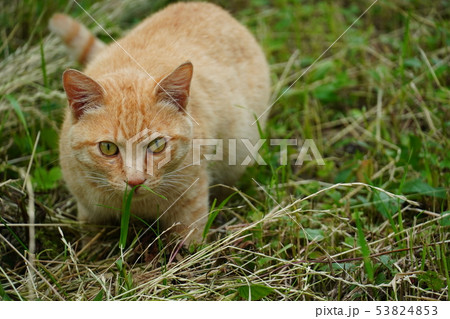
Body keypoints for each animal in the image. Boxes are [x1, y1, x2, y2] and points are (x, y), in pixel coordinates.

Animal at [52, 1, 270, 245]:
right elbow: (90, 241)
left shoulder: (191, 204)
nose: (135, 181)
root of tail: (204, 5)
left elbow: (189, 246)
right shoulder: (89, 211)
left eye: (157, 145)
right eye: (108, 148)